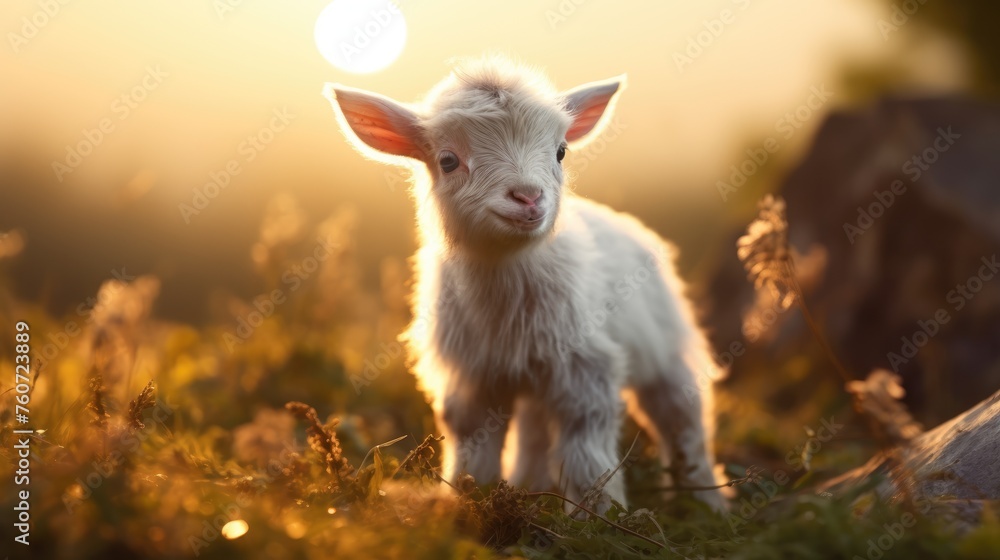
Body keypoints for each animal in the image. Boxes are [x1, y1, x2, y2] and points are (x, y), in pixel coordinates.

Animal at [323, 56, 727, 515]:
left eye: (561, 151)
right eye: (448, 160)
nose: (529, 197)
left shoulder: (584, 366)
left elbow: (586, 449)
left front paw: (596, 517)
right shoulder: (471, 375)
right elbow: (472, 445)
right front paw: (471, 502)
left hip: (667, 347)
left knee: (683, 417)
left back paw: (707, 504)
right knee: (536, 426)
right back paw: (532, 485)